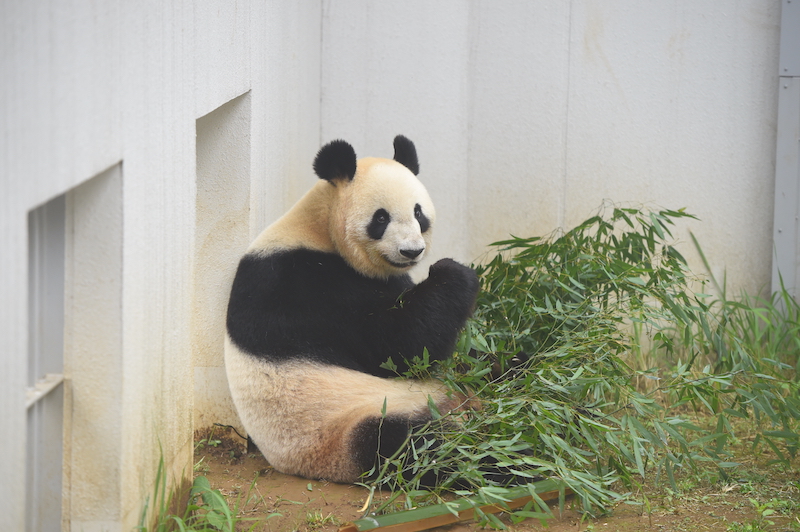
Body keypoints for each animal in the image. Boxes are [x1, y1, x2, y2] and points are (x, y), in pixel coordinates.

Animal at [222, 135, 478, 484]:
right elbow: (398, 346)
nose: (411, 251)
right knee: (414, 447)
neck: (318, 229)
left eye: (418, 212)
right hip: (347, 425)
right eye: (381, 218)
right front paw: (454, 273)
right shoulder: (301, 287)